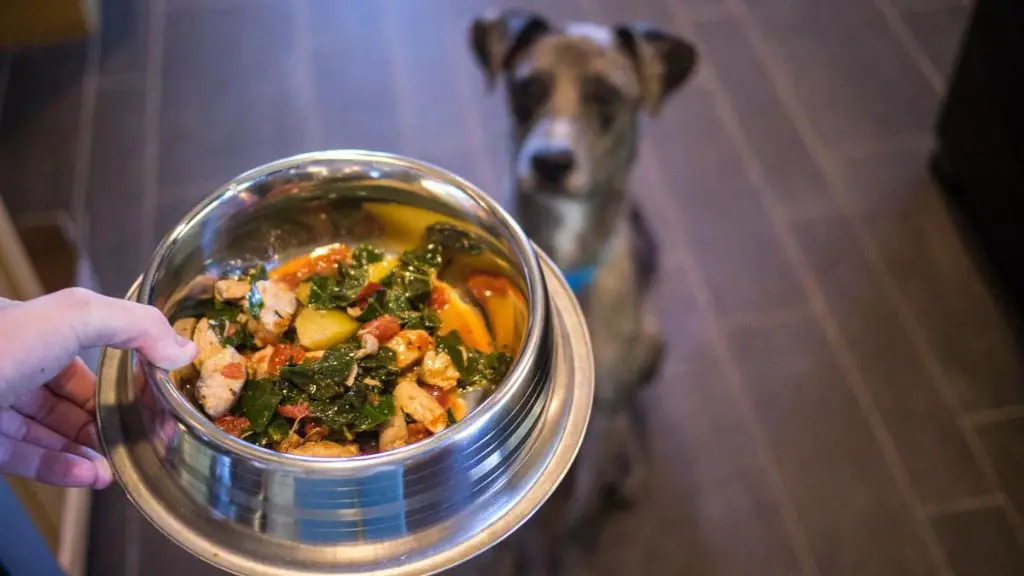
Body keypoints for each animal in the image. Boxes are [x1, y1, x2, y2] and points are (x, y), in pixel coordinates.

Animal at [462, 8, 696, 573]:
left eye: (607, 95)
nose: (551, 162)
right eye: (526, 87)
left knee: (633, 409)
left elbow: (574, 527)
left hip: (650, 344)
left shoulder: (599, 425)